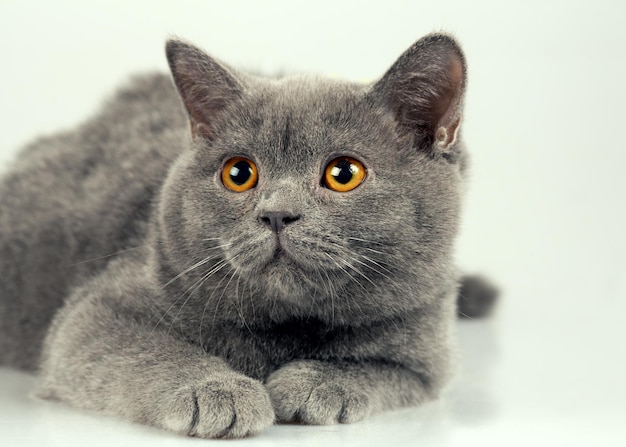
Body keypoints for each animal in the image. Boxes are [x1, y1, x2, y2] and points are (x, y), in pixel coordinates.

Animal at [1, 33, 492, 440]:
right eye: (238, 174)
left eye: (344, 173)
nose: (276, 214)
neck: (286, 324)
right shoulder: (97, 311)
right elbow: (146, 349)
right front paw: (216, 391)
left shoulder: (426, 348)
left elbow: (380, 369)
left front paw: (315, 383)